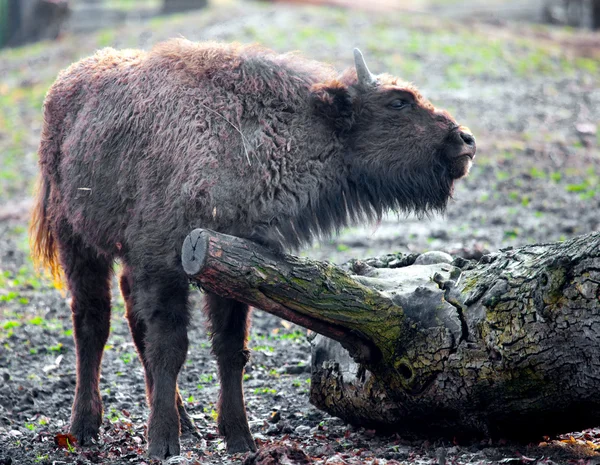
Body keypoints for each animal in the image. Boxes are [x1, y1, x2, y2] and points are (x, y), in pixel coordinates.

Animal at [29, 39, 478, 456]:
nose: (466, 141)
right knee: (92, 324)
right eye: (398, 101)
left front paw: (239, 438)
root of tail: (62, 87)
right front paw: (162, 443)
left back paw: (186, 423)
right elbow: (170, 348)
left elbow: (230, 351)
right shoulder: (162, 265)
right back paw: (84, 427)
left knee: (130, 323)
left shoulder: (230, 272)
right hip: (77, 241)